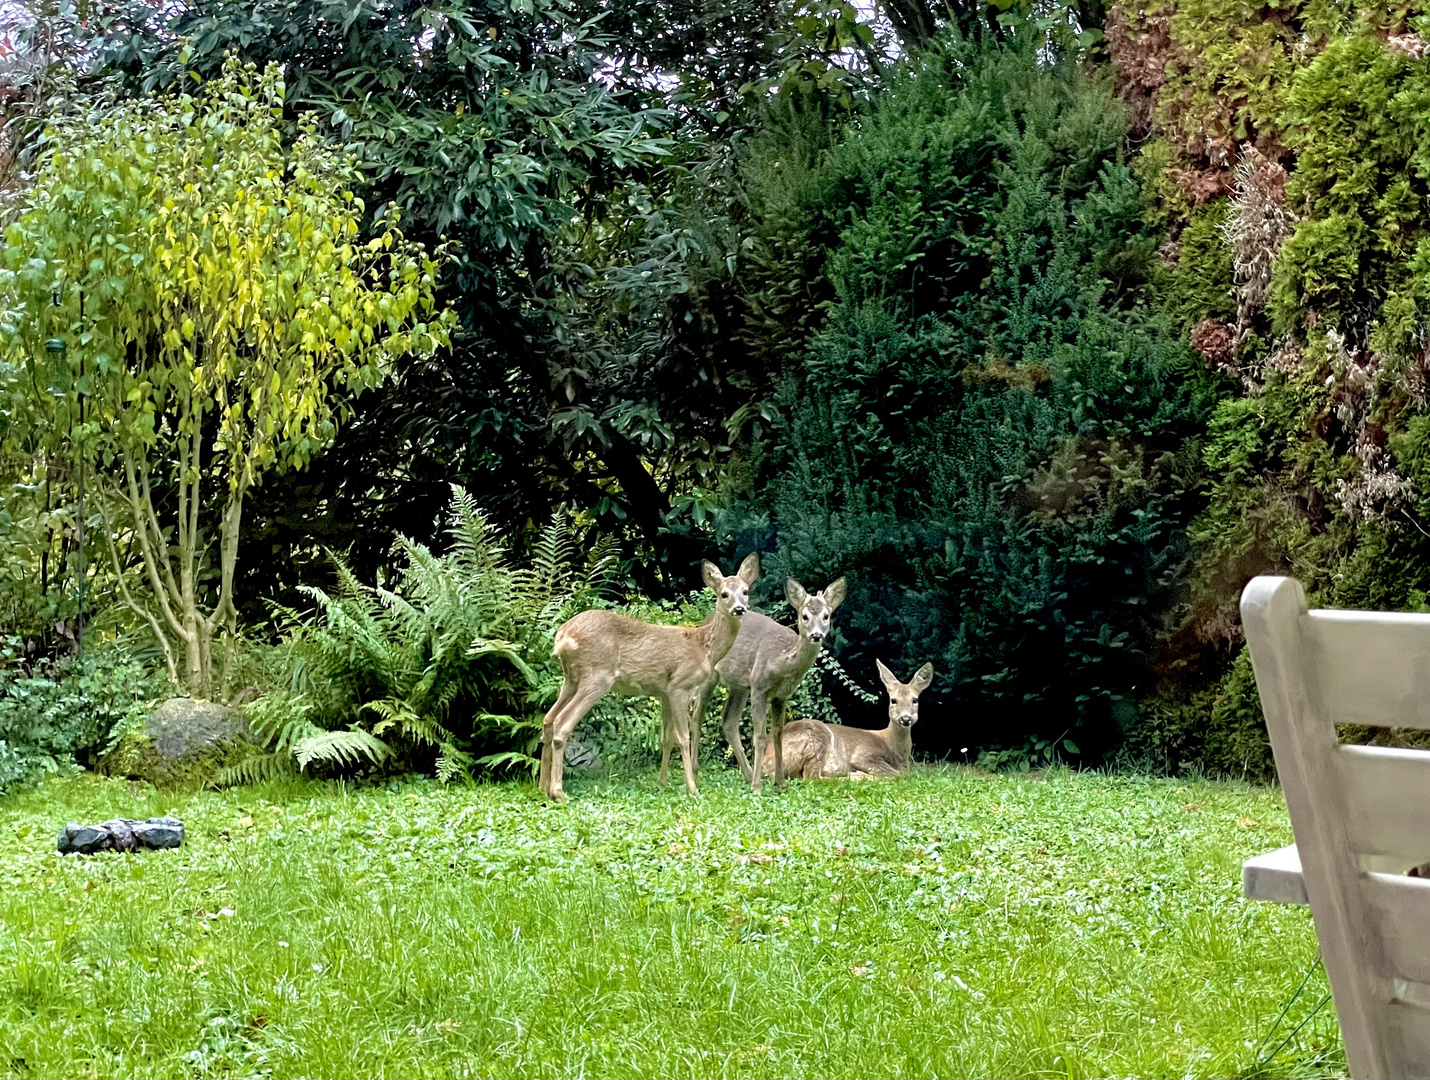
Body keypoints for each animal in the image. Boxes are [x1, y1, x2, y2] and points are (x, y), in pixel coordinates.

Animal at [537, 557, 760, 801]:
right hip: (597, 676)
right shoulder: (679, 686)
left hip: (571, 678)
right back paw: (558, 792)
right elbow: (683, 737)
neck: (704, 646)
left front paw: (662, 783)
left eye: (746, 591)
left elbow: (666, 738)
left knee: (548, 719)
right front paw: (692, 788)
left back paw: (543, 787)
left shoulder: (663, 692)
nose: (739, 609)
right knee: (561, 723)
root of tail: (563, 636)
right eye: (724, 594)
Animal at [706, 575, 840, 795]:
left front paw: (780, 783)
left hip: (739, 685)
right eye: (804, 616)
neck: (779, 664)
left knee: (728, 720)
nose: (816, 635)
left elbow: (778, 734)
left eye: (826, 616)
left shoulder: (781, 696)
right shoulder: (758, 687)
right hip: (710, 676)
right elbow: (760, 736)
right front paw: (757, 788)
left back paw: (748, 774)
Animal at [760, 658, 938, 778]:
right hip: (815, 740)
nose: (905, 719)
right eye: (893, 700)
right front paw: (859, 774)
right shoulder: (863, 754)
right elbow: (897, 775)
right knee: (812, 777)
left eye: (915, 700)